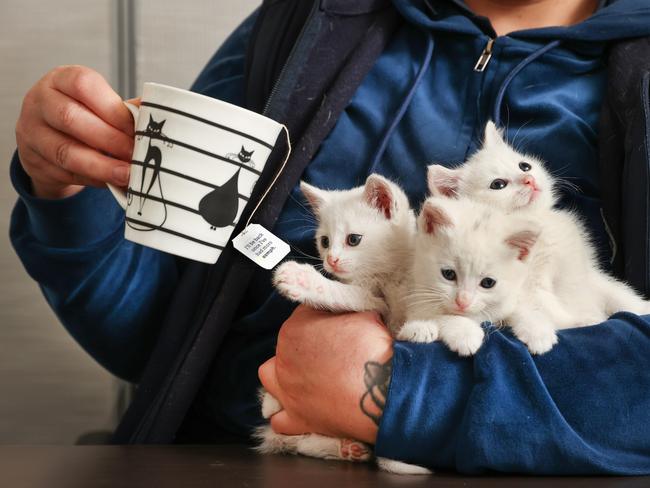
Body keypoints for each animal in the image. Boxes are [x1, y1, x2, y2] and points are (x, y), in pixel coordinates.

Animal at [254, 176, 430, 476]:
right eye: (324, 241)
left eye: (353, 239)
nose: (331, 260)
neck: (387, 274)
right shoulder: (376, 301)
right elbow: (353, 295)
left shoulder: (393, 308)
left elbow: (356, 296)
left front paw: (303, 280)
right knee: (293, 440)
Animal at [398, 196, 540, 356]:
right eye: (448, 274)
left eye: (488, 282)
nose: (462, 301)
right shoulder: (416, 297)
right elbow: (438, 314)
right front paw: (465, 334)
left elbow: (517, 304)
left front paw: (537, 329)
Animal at [426, 121, 648, 350]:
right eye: (498, 184)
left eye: (524, 166)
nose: (529, 179)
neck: (537, 223)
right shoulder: (525, 287)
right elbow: (546, 307)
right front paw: (585, 320)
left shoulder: (586, 273)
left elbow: (614, 291)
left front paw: (642, 307)